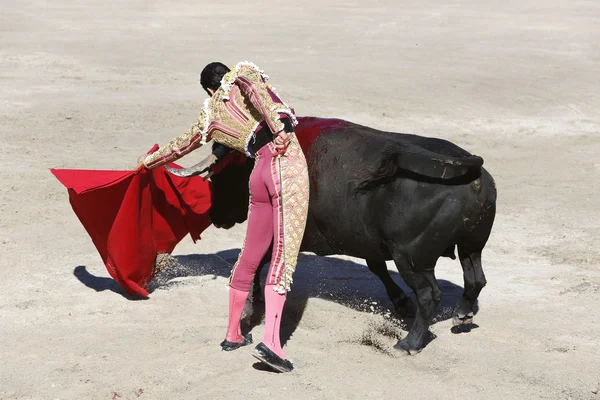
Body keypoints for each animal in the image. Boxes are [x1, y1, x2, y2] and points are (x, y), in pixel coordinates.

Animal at [204, 118, 494, 354]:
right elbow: (376, 267)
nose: (214, 216)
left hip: (410, 258)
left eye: (221, 174)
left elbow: (257, 261)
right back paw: (462, 314)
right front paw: (401, 302)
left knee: (429, 295)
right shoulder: (370, 241)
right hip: (471, 244)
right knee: (475, 278)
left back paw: (408, 344)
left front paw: (252, 306)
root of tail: (470, 169)